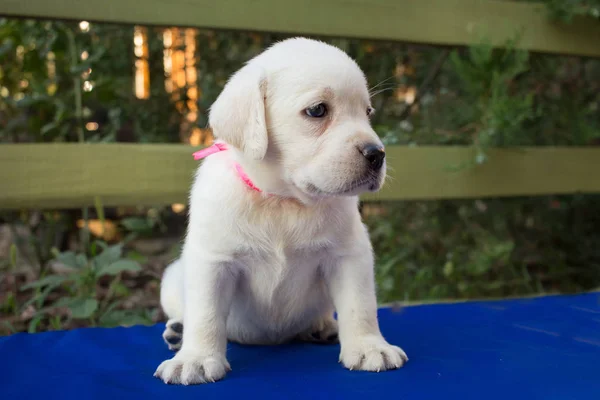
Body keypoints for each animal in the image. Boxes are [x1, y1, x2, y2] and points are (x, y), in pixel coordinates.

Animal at [155, 36, 408, 384]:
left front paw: (370, 347)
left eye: (367, 112)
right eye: (317, 110)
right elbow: (205, 315)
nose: (377, 154)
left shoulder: (349, 255)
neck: (282, 200)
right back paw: (179, 332)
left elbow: (360, 306)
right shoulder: (213, 262)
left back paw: (322, 326)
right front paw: (195, 359)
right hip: (172, 279)